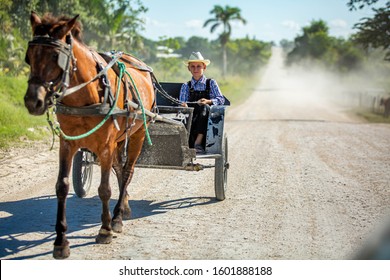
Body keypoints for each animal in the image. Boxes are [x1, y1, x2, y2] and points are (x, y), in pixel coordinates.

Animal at [23, 12, 155, 260]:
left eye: (56, 57)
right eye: (29, 57)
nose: (33, 101)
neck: (86, 95)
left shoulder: (105, 146)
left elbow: (104, 189)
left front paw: (105, 230)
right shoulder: (67, 144)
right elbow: (62, 187)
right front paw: (60, 242)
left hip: (138, 134)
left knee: (128, 171)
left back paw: (117, 217)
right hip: (118, 140)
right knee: (120, 170)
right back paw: (124, 206)